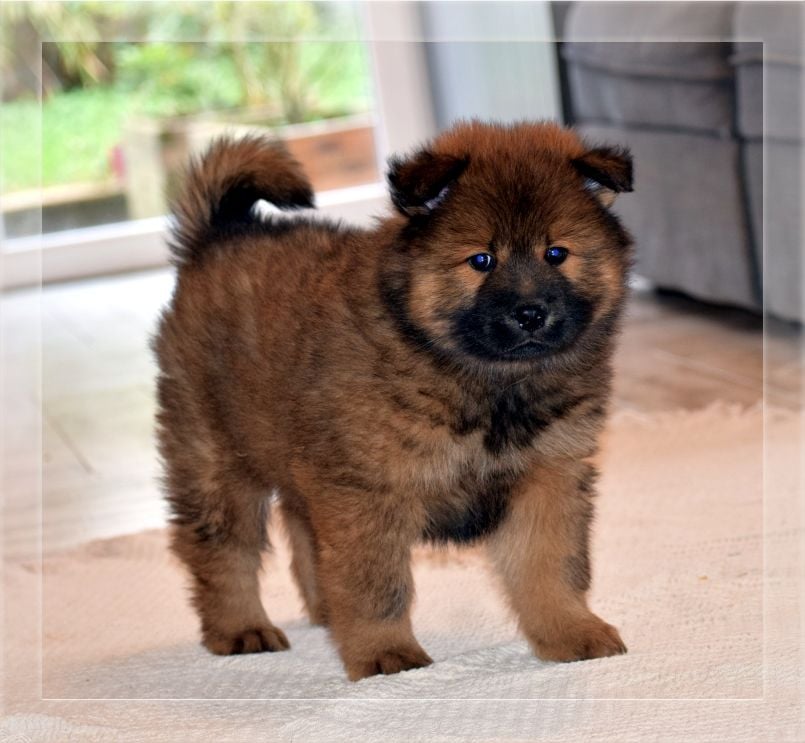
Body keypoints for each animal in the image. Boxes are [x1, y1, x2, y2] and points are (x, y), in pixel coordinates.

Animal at [153, 120, 633, 681]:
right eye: (482, 260)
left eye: (556, 254)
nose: (531, 313)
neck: (489, 382)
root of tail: (222, 232)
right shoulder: (366, 491)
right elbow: (376, 585)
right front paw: (386, 654)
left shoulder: (547, 478)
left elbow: (551, 567)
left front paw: (570, 632)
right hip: (215, 457)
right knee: (221, 549)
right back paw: (240, 628)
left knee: (300, 527)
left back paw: (323, 612)